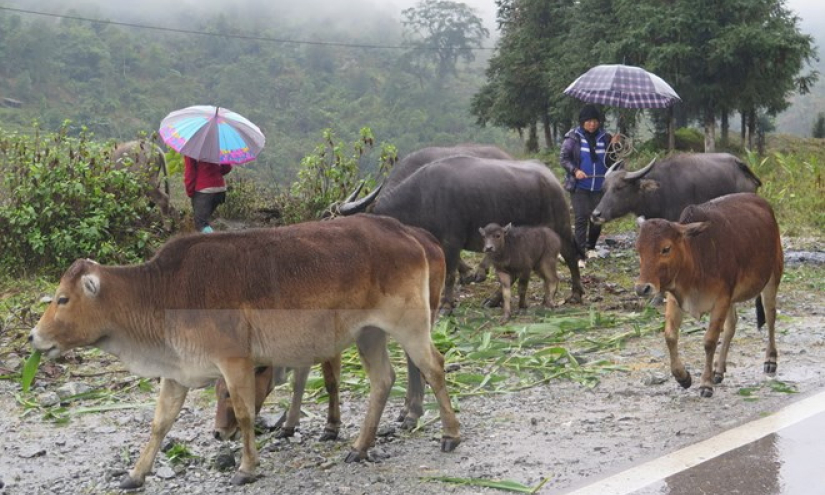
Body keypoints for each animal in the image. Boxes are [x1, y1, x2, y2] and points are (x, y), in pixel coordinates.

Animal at [29, 216, 460, 488]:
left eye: (63, 299)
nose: (34, 337)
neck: (162, 292)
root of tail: (404, 232)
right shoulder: (176, 372)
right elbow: (159, 424)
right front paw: (135, 474)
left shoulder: (234, 361)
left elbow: (245, 413)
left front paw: (247, 468)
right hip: (369, 334)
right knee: (383, 380)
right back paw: (360, 446)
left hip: (410, 325)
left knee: (434, 367)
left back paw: (450, 434)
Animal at [344, 157, 584, 308]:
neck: (421, 198)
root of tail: (551, 178)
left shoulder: (452, 241)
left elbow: (449, 274)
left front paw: (446, 303)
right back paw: (494, 300)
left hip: (560, 226)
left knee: (571, 256)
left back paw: (576, 293)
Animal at [636, 194, 784, 400]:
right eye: (639, 250)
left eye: (666, 248)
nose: (642, 288)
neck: (697, 258)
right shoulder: (675, 299)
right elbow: (670, 336)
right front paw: (683, 377)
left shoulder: (721, 299)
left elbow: (709, 341)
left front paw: (705, 383)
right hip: (733, 297)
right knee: (732, 325)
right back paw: (719, 370)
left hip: (772, 277)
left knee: (770, 316)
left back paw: (770, 360)